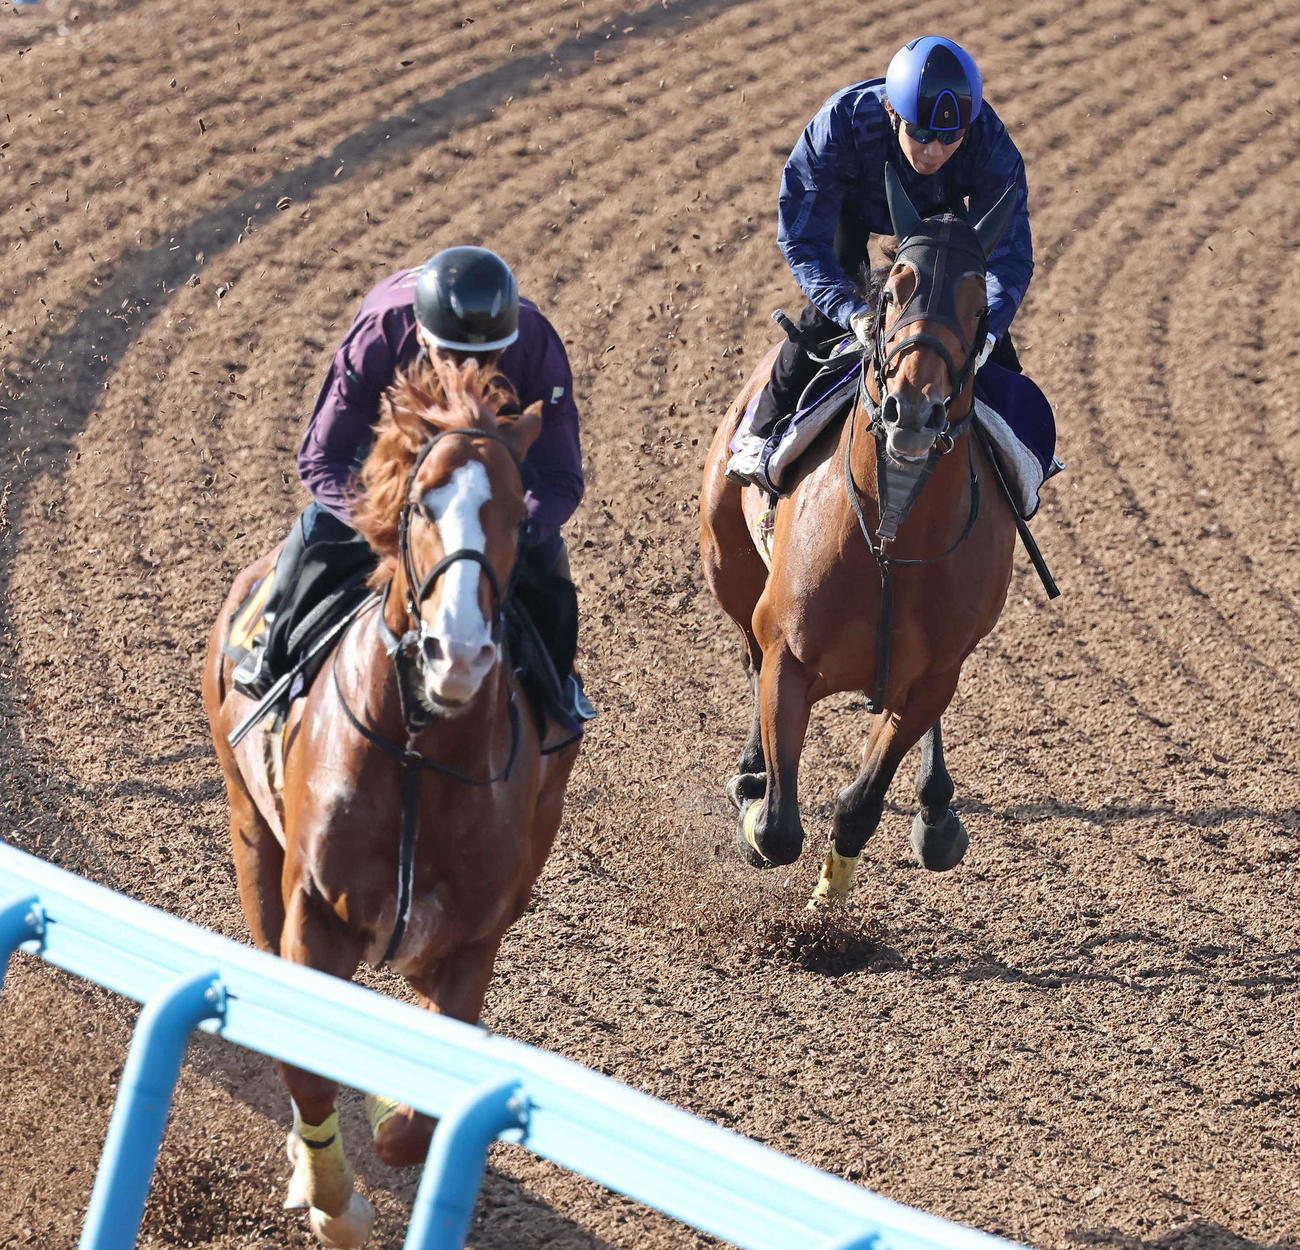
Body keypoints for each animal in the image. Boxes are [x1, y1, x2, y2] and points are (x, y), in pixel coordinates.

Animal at [202, 357, 582, 1248]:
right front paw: (334, 1204)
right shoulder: (316, 914)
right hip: (250, 834)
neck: (417, 757)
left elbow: (418, 1119)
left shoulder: (471, 936)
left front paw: (391, 1106)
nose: (460, 655)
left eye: (515, 513)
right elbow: (306, 1064)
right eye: (420, 506)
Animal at [700, 167, 1019, 910]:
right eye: (895, 289)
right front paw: (754, 801)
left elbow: (859, 805)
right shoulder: (787, 652)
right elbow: (778, 827)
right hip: (728, 566)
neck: (892, 542)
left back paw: (936, 810)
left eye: (977, 304)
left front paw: (826, 907)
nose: (914, 409)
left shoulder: (931, 680)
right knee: (746, 649)